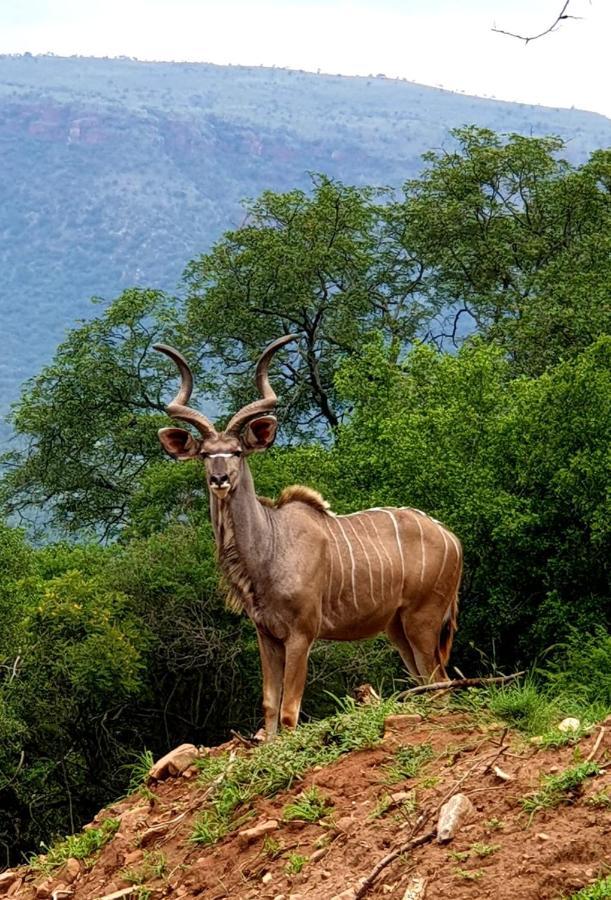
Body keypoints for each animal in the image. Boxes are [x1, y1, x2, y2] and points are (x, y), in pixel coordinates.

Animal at [155, 334, 462, 736]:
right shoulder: (266, 634)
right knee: (427, 683)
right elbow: (270, 706)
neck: (270, 548)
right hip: (397, 628)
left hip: (422, 621)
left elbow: (289, 712)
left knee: (440, 683)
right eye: (206, 454)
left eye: (236, 451)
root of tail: (452, 538)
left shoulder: (302, 633)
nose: (219, 479)